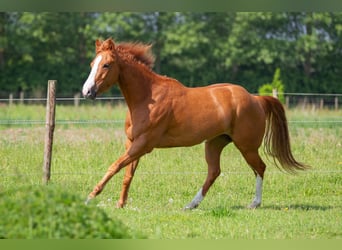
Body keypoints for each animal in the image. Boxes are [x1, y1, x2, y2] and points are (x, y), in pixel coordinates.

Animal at [81, 37, 308, 209]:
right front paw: (120, 204)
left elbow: (114, 167)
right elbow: (127, 174)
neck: (147, 97)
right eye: (92, 64)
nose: (87, 92)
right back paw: (191, 204)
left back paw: (254, 203)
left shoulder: (143, 144)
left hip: (247, 146)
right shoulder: (132, 143)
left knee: (259, 168)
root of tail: (256, 99)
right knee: (214, 172)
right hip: (215, 143)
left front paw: (90, 197)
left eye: (106, 64)